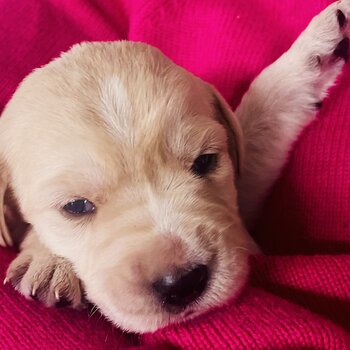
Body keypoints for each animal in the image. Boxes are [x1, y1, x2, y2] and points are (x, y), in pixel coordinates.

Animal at [0, 0, 348, 334]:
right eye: (75, 206)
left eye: (205, 161)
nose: (182, 284)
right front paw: (48, 261)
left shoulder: (241, 210)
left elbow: (262, 115)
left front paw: (316, 47)